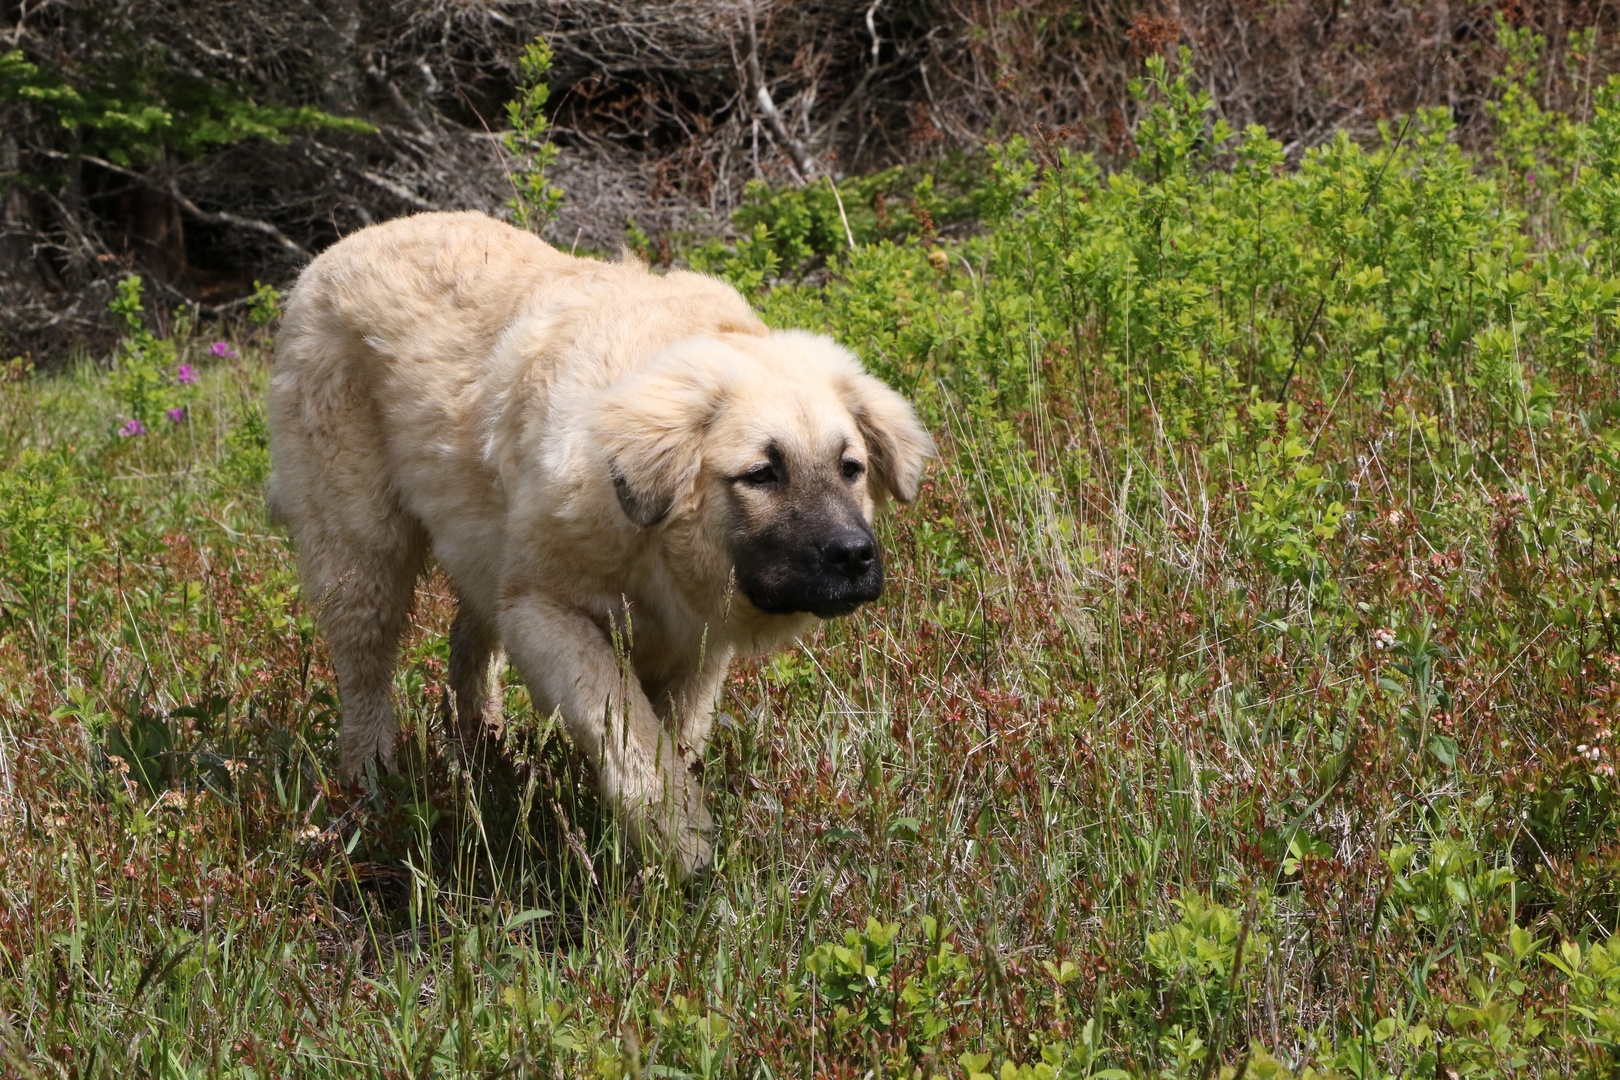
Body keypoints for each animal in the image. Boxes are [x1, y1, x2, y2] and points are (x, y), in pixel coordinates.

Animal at [264, 210, 926, 880]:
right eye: (762, 474)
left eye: (850, 468)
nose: (853, 557)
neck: (653, 536)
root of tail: (338, 250)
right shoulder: (547, 614)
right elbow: (629, 734)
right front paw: (681, 847)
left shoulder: (695, 647)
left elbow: (674, 738)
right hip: (360, 548)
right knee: (365, 665)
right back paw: (371, 785)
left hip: (479, 549)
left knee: (469, 640)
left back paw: (483, 749)